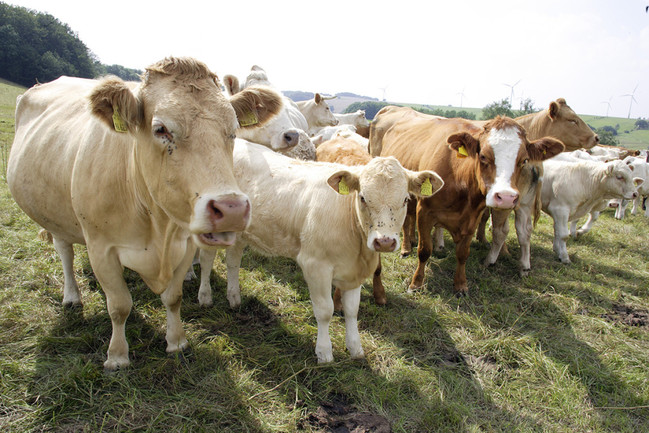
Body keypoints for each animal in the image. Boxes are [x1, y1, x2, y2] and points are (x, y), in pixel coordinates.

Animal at [5, 56, 284, 368]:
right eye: (161, 129)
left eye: (233, 129)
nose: (231, 209)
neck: (157, 227)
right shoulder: (101, 248)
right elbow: (119, 305)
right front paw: (117, 357)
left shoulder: (184, 244)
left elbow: (173, 297)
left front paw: (177, 342)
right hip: (55, 217)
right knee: (65, 252)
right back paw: (72, 296)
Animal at [195, 139, 442, 362]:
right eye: (363, 197)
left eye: (405, 199)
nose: (385, 242)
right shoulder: (315, 265)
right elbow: (325, 310)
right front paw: (324, 352)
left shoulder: (354, 272)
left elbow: (352, 310)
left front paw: (355, 348)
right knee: (207, 259)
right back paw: (205, 296)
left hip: (240, 231)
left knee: (233, 260)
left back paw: (234, 297)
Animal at [374, 113, 560, 296]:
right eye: (483, 156)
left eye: (524, 160)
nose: (506, 197)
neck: (459, 178)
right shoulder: (424, 212)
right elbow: (424, 250)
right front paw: (416, 283)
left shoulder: (473, 217)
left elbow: (463, 254)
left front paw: (460, 285)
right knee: (406, 222)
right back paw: (406, 248)